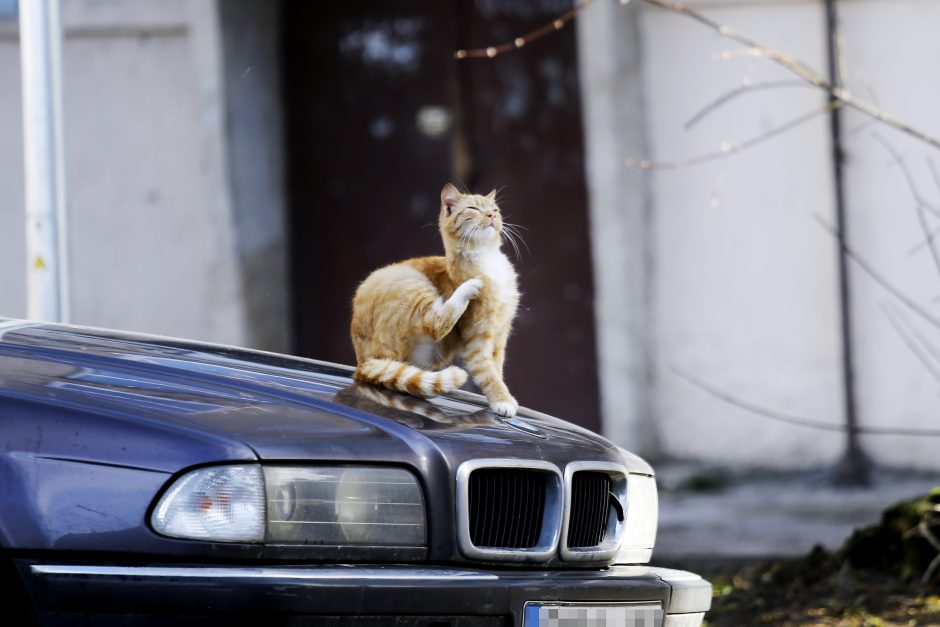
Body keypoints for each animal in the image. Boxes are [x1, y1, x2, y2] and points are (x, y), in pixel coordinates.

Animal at [348, 182, 520, 418]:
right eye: (473, 209)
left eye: (495, 209)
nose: (492, 215)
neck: (487, 260)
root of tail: (361, 364)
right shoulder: (477, 341)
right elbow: (488, 374)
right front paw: (502, 401)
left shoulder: (500, 336)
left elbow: (497, 369)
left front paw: (503, 395)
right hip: (411, 283)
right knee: (436, 324)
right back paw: (468, 288)